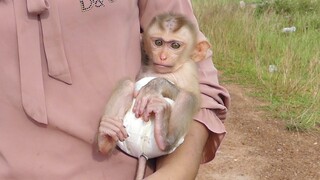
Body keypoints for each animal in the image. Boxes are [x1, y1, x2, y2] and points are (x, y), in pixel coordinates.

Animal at [99, 13, 211, 180]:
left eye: (175, 45)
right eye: (158, 42)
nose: (163, 56)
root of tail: (142, 152)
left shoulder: (189, 70)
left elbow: (196, 99)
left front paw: (155, 85)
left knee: (187, 97)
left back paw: (164, 138)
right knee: (127, 84)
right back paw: (105, 138)